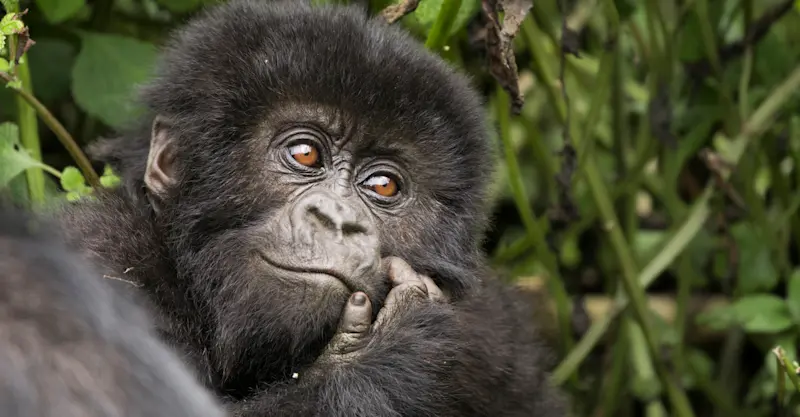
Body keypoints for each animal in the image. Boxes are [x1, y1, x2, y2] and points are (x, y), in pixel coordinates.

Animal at [58, 0, 569, 415]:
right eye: (305, 154)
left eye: (383, 184)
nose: (337, 220)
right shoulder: (102, 255)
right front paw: (393, 350)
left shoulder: (496, 335)